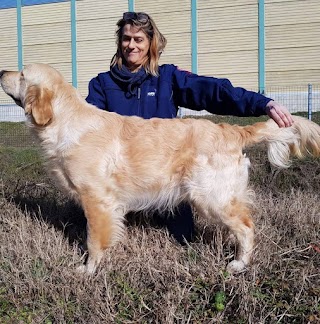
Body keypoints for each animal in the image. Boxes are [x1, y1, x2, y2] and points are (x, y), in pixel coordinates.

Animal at [1, 62, 320, 274]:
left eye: (22, 74)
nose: (2, 71)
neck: (66, 121)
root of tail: (232, 130)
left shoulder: (97, 200)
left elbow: (93, 241)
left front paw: (88, 271)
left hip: (211, 196)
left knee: (247, 226)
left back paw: (239, 263)